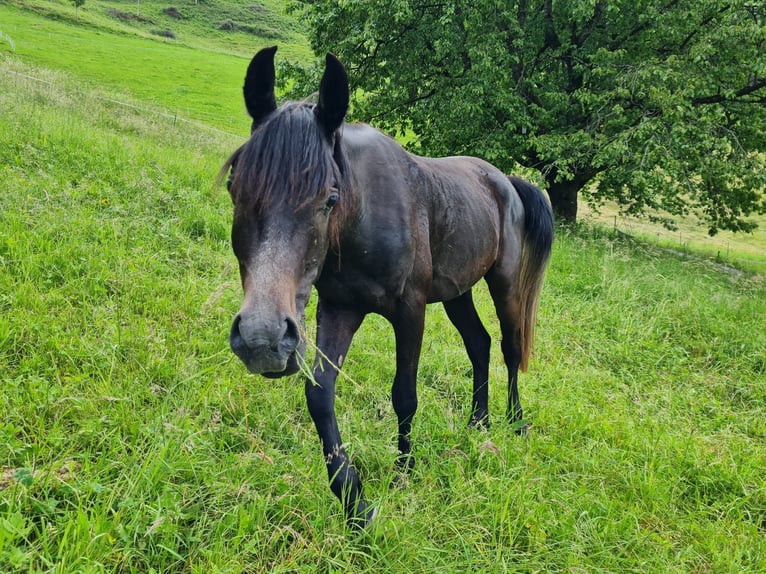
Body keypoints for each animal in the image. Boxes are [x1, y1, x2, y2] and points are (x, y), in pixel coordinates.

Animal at [222, 46, 552, 532]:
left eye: (330, 197)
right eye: (234, 187)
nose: (262, 339)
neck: (362, 216)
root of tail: (505, 181)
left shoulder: (410, 310)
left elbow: (404, 395)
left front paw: (404, 471)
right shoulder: (338, 309)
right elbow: (320, 396)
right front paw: (354, 501)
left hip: (504, 283)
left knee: (510, 347)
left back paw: (514, 422)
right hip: (457, 292)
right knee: (479, 344)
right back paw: (478, 423)